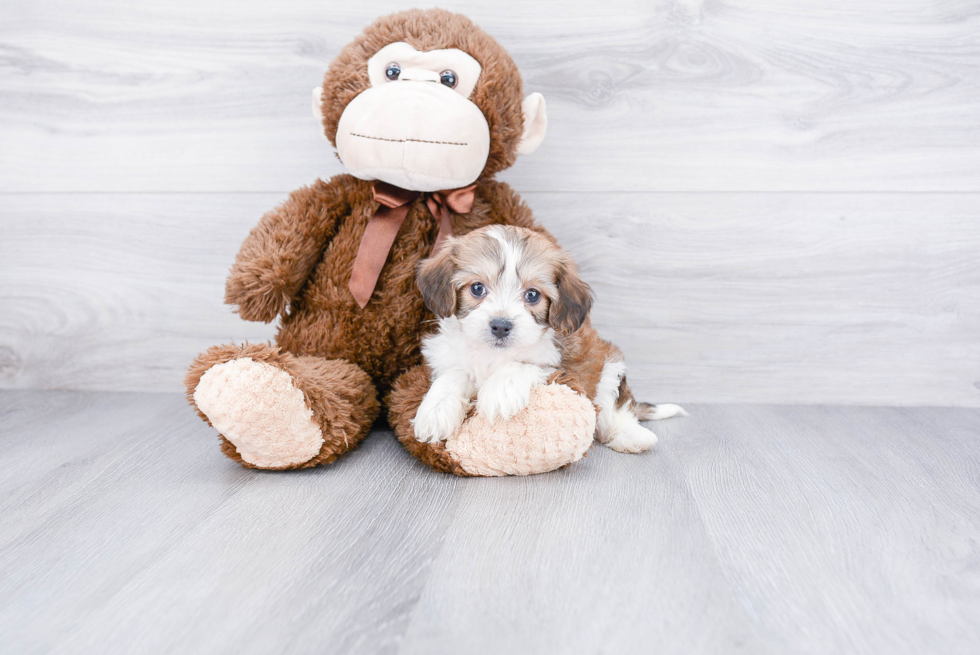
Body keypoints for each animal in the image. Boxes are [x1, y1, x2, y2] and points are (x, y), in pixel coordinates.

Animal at [410, 223, 684, 454]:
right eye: (477, 288)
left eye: (532, 295)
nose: (501, 326)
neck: (495, 355)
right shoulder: (447, 355)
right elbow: (456, 373)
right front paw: (435, 411)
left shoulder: (567, 368)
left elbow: (526, 364)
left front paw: (500, 390)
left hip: (609, 367)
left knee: (614, 410)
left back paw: (631, 436)